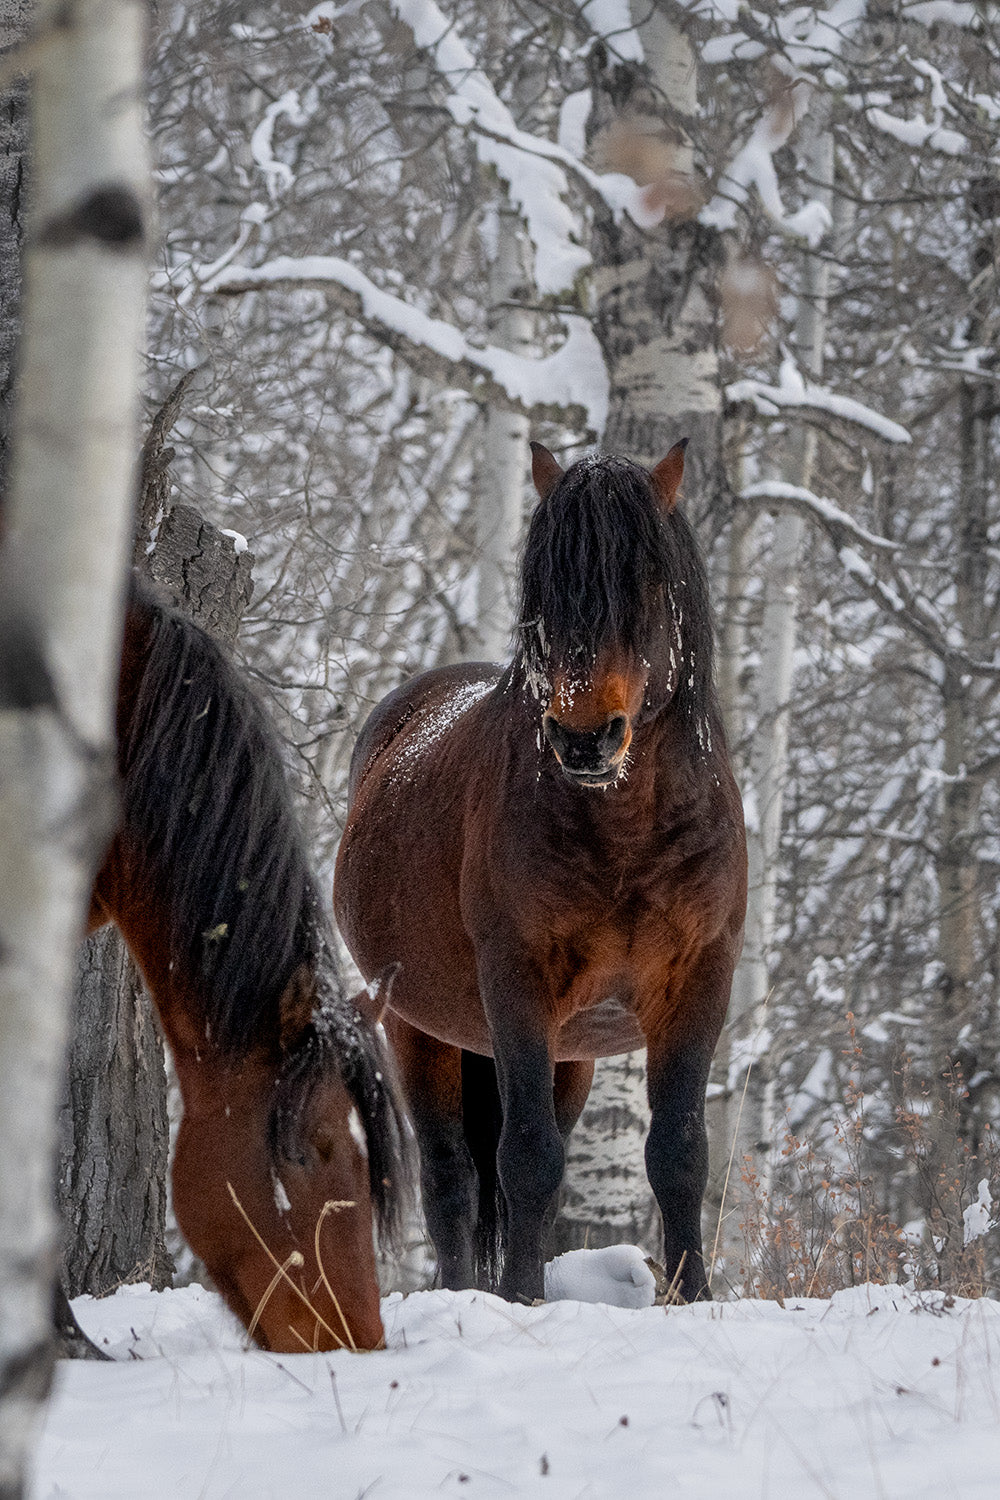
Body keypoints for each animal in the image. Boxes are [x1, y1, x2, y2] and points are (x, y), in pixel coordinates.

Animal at [334, 440, 747, 1304]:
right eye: (546, 588)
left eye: (646, 581)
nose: (585, 736)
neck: (624, 834)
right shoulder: (516, 983)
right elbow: (524, 1158)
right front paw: (522, 1297)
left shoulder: (699, 981)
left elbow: (679, 1153)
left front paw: (692, 1298)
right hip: (420, 1031)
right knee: (453, 1181)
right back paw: (465, 1292)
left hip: (572, 1056)